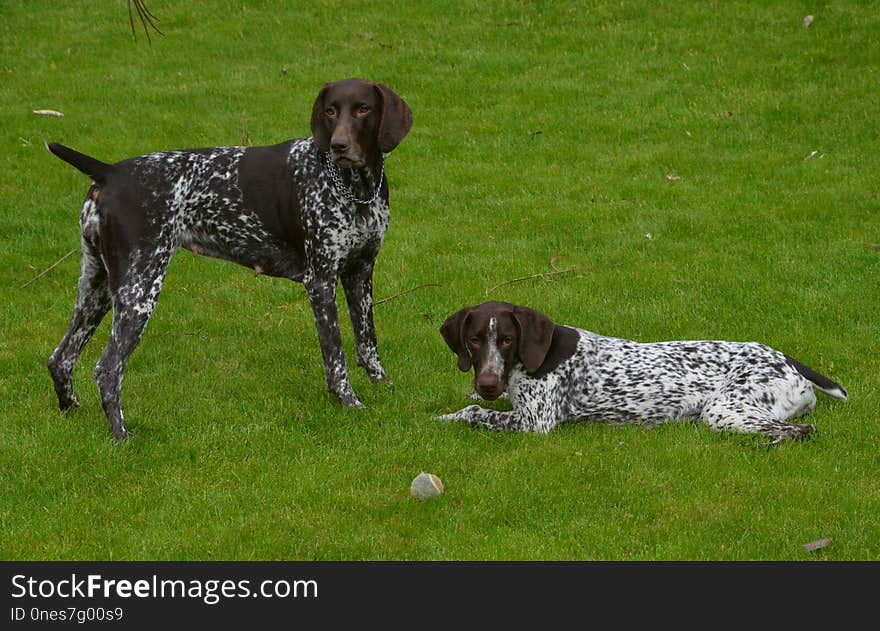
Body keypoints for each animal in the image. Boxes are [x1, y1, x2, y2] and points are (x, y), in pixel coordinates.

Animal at [49, 78, 414, 440]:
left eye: (363, 108)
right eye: (330, 111)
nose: (338, 145)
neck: (355, 189)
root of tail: (110, 173)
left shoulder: (360, 272)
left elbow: (367, 342)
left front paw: (382, 385)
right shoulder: (321, 281)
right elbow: (336, 356)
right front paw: (349, 401)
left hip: (98, 288)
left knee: (60, 358)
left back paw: (72, 411)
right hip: (139, 291)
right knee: (107, 369)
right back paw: (122, 435)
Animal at [440, 302, 844, 444]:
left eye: (507, 340)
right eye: (474, 340)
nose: (488, 383)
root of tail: (787, 360)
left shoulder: (534, 422)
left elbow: (474, 412)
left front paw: (446, 417)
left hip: (725, 409)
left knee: (800, 430)